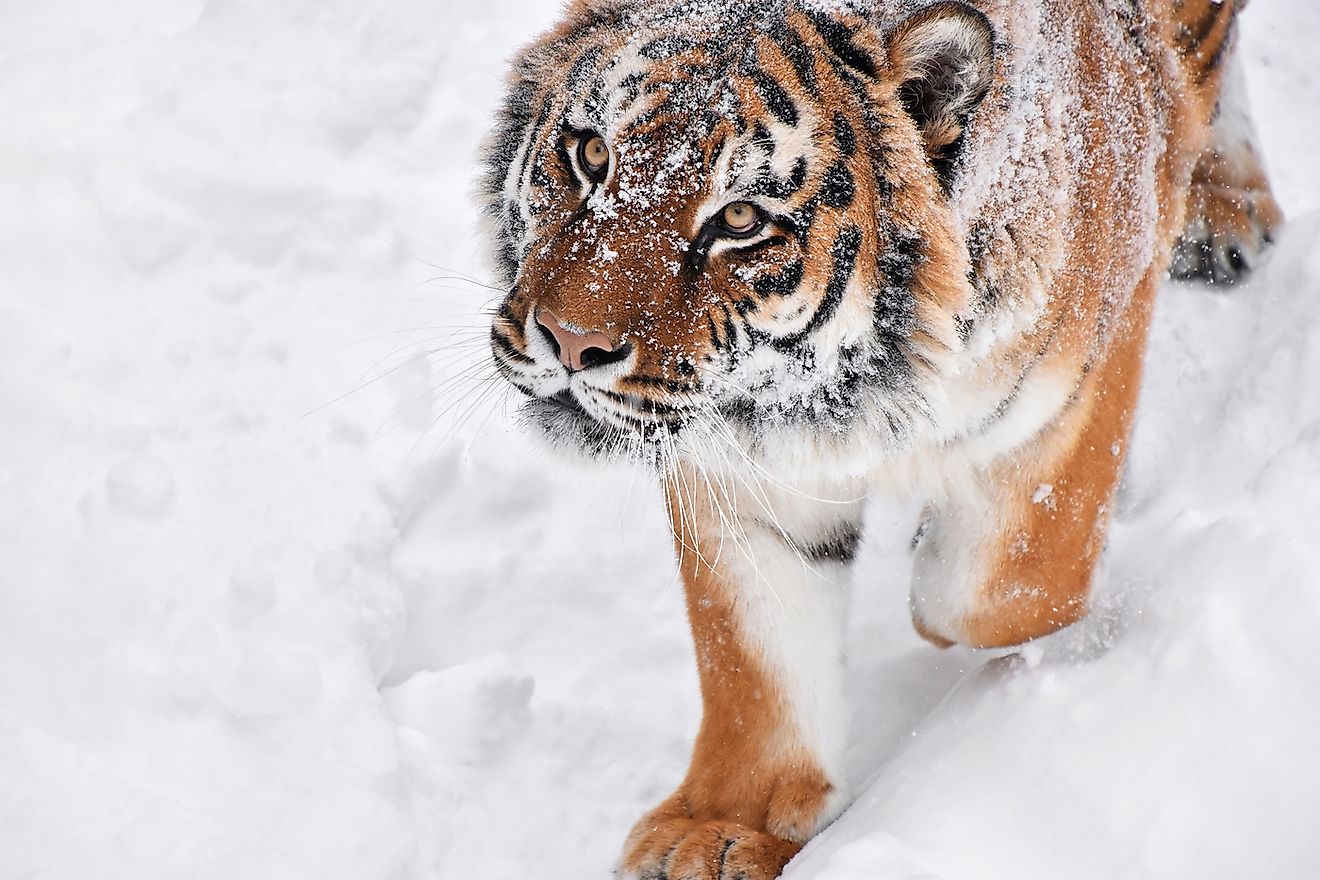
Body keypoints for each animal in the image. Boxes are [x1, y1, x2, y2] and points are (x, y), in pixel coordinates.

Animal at [480, 1, 1283, 880]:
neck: (843, 386)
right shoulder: (738, 468)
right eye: (591, 152)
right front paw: (722, 829)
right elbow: (755, 655)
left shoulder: (1080, 378)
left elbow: (991, 590)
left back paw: (1227, 202)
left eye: (740, 219)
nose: (569, 342)